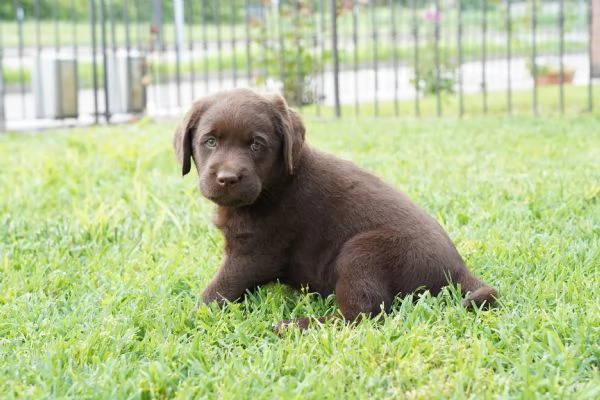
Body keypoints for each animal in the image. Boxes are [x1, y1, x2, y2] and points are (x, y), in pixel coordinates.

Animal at [172, 88, 496, 332]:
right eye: (210, 141)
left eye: (256, 145)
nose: (227, 178)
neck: (277, 183)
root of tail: (457, 268)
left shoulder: (254, 253)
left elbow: (216, 290)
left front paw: (191, 317)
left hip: (363, 252)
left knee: (362, 315)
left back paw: (295, 325)